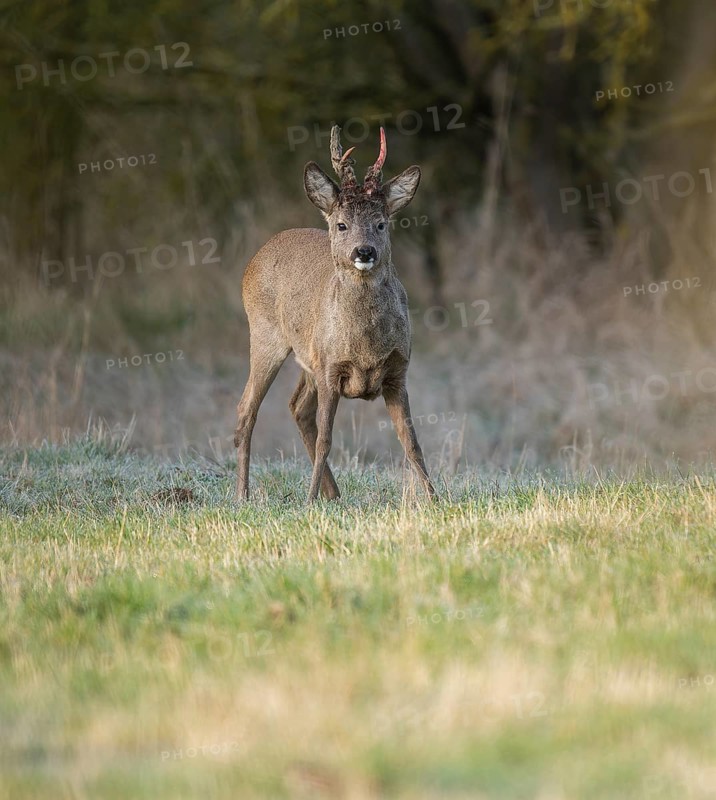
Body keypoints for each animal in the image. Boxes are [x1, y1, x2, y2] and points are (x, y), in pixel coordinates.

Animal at [234, 125, 436, 503]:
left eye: (381, 224)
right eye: (342, 225)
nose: (364, 251)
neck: (366, 347)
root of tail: (258, 255)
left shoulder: (397, 372)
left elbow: (412, 443)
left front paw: (435, 498)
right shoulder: (330, 369)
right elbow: (327, 440)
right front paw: (308, 502)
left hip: (308, 357)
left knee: (297, 407)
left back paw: (333, 493)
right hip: (266, 335)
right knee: (246, 409)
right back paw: (243, 495)